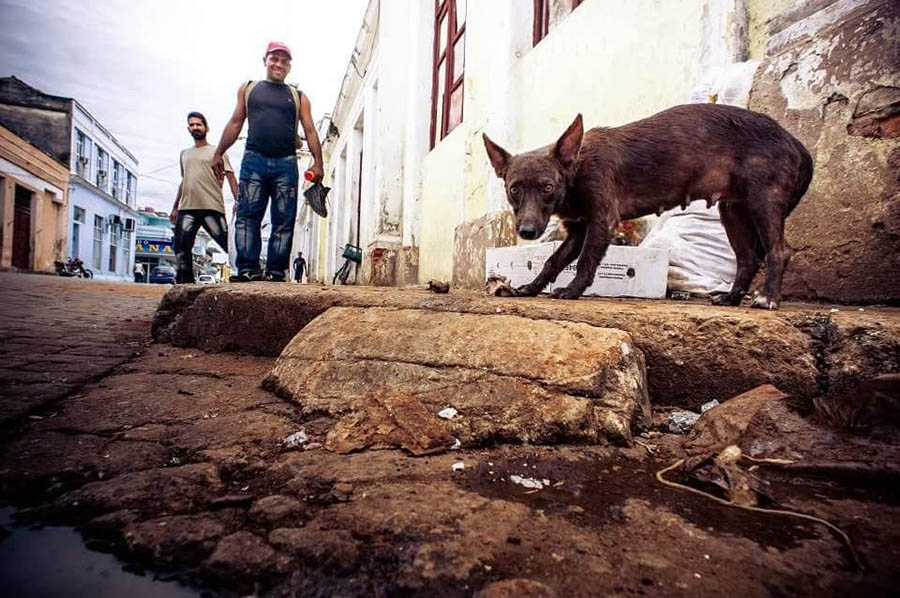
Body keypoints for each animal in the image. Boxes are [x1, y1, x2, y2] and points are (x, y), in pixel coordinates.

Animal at [486, 104, 816, 310]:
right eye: (514, 189)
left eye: (547, 187)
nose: (527, 232)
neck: (576, 169)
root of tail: (795, 141)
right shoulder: (578, 229)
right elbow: (553, 261)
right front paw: (532, 287)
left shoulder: (602, 221)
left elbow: (585, 261)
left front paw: (573, 289)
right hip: (732, 210)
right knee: (747, 258)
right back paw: (732, 298)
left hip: (763, 201)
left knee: (778, 251)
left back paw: (767, 298)